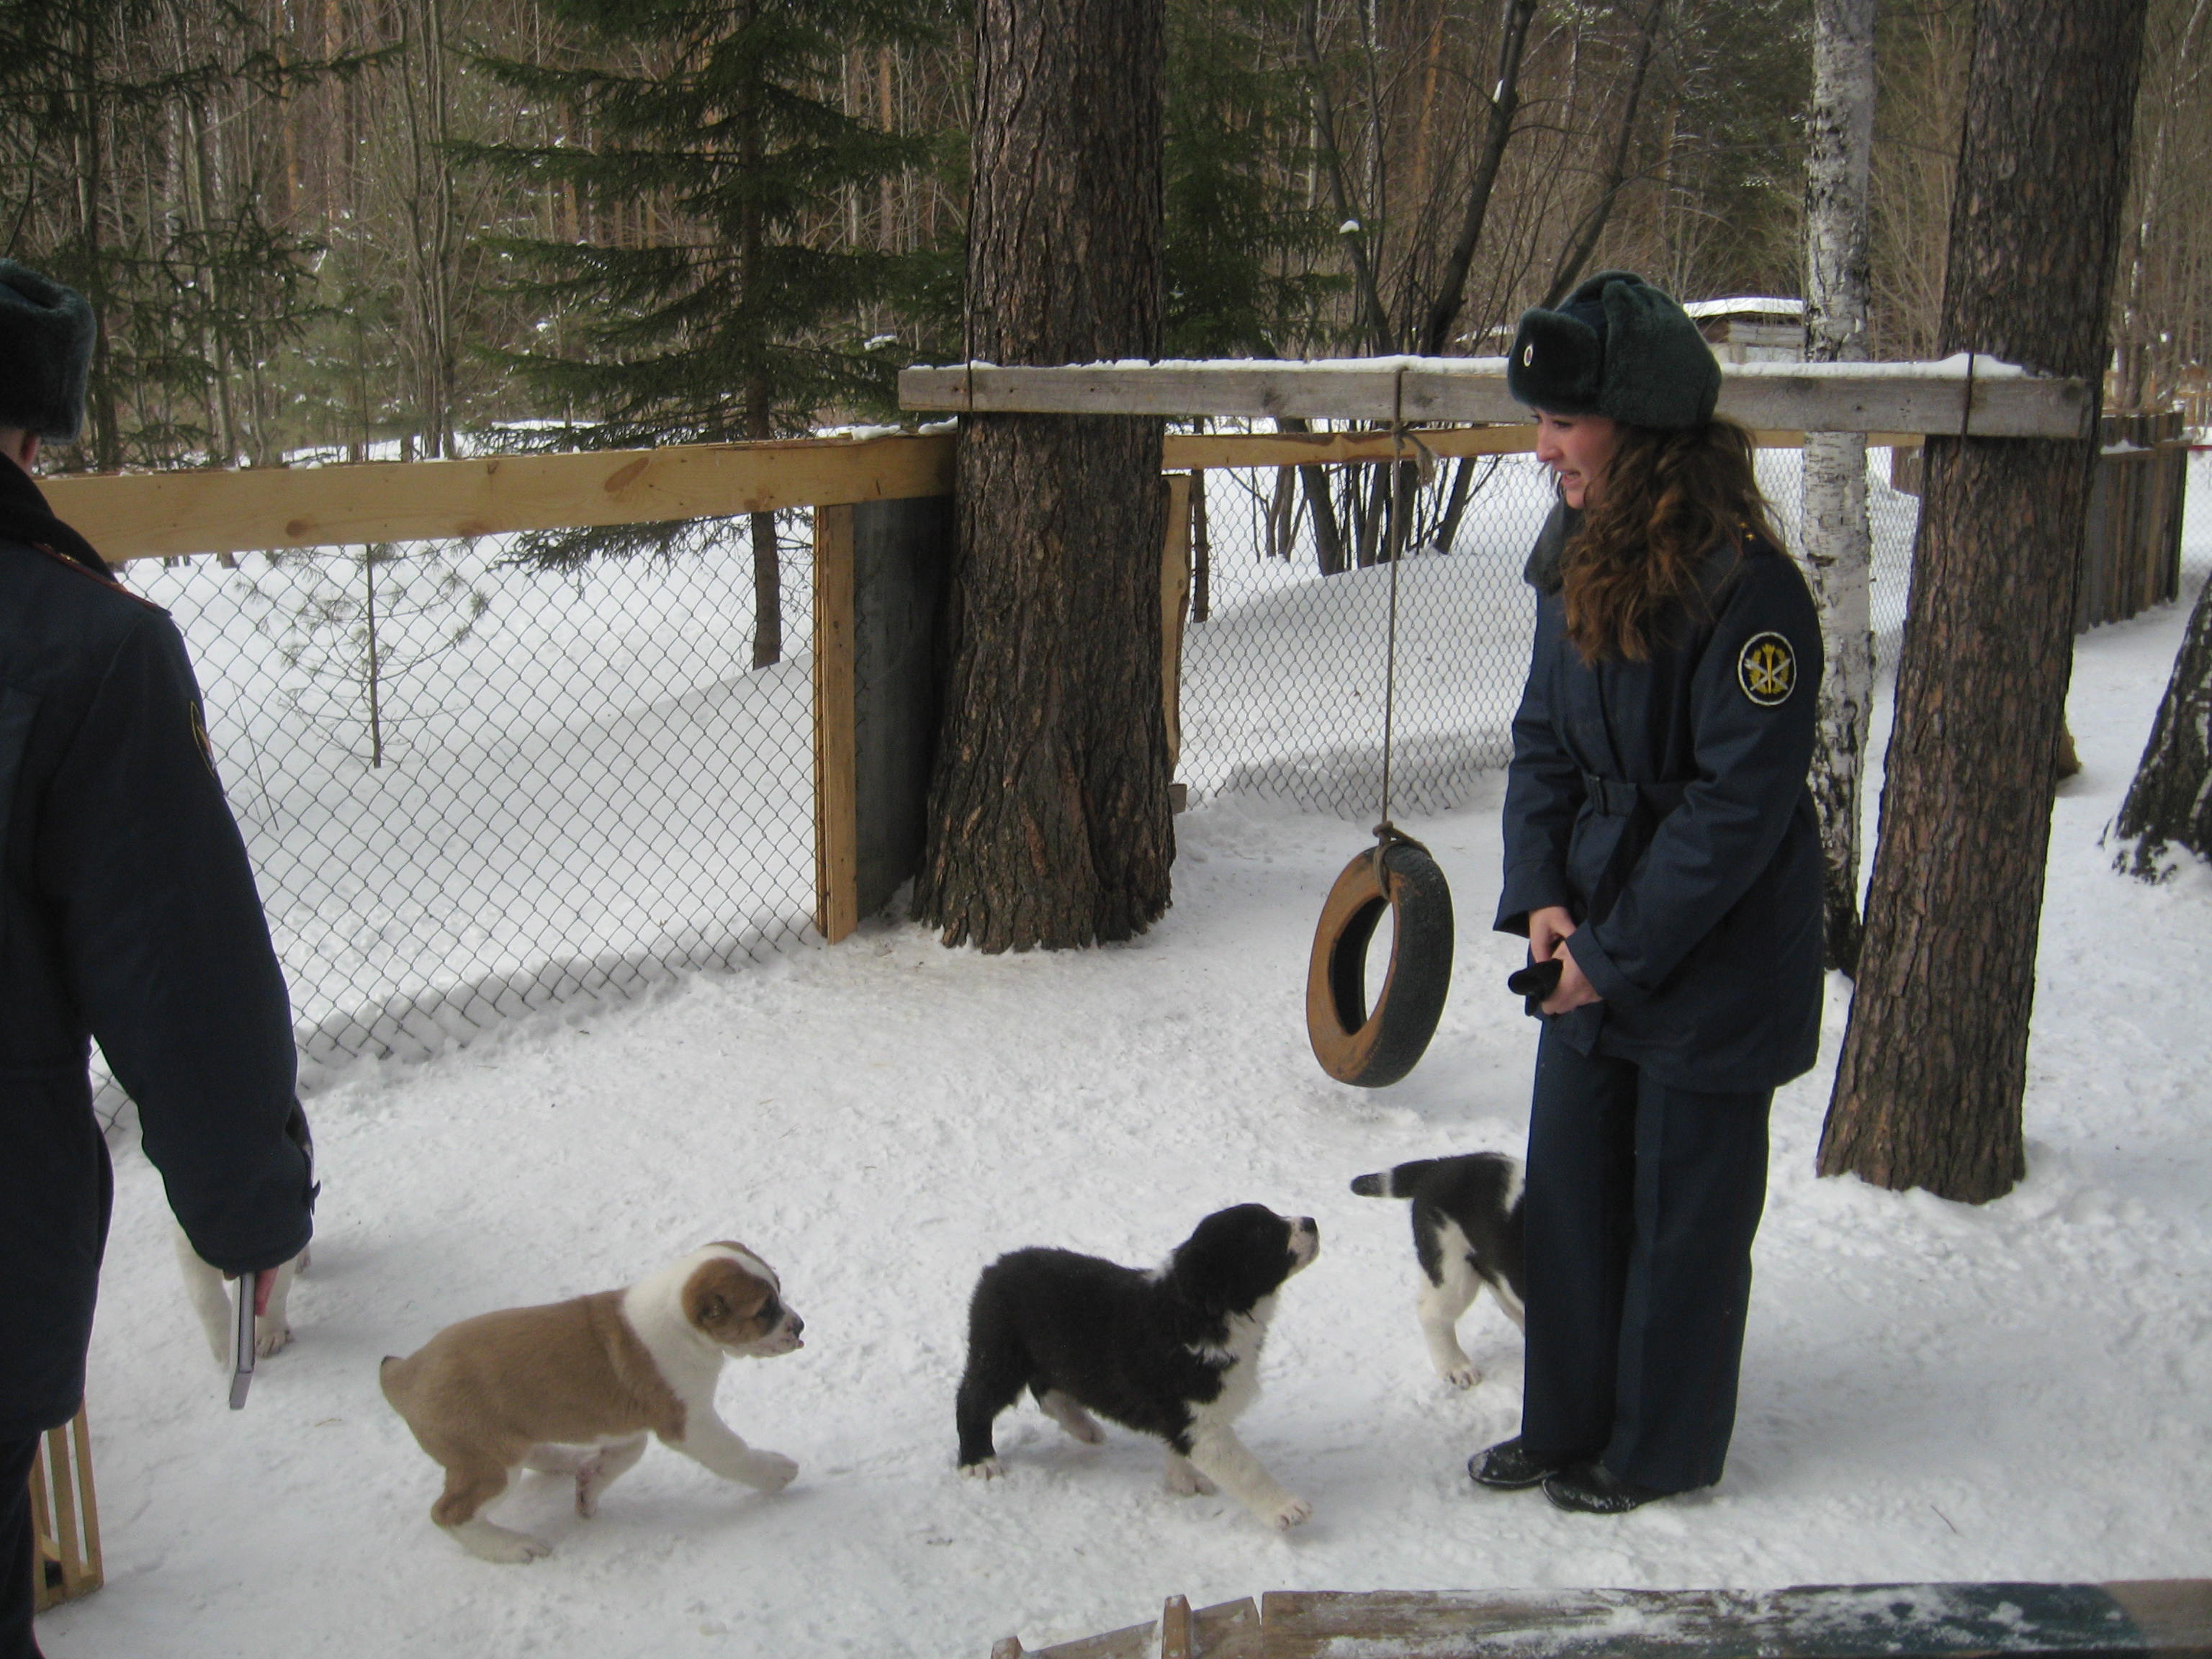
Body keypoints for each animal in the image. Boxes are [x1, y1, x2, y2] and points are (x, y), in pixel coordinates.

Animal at [385, 1238, 809, 1565]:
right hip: (488, 1463)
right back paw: (511, 1546)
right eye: (765, 1310)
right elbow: (732, 1451)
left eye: (779, 1290)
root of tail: (404, 1374)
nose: (800, 1325)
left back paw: (566, 1461)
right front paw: (775, 1472)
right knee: (449, 1513)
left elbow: (625, 1456)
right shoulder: (690, 1424)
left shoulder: (629, 1423)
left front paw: (589, 1486)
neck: (680, 1323)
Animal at [950, 1212, 1309, 1530]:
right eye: (1262, 1232)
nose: (1312, 1223)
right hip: (1000, 1356)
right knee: (972, 1401)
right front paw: (1286, 1509)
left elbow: (1180, 1449)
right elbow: (1245, 1468)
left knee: (1047, 1390)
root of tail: (996, 1267)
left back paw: (1082, 1425)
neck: (1203, 1313)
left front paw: (1184, 1479)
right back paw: (979, 1462)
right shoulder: (1196, 1418)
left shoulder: (1185, 1418)